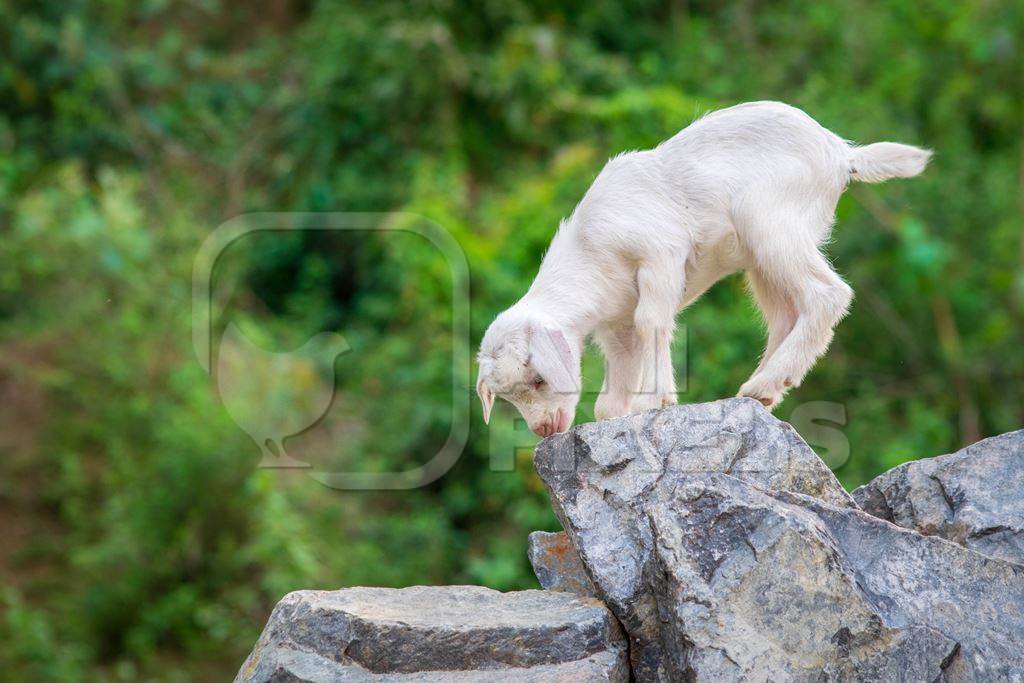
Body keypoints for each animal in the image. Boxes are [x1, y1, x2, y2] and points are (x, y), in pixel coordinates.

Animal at [473, 98, 929, 436]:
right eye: (510, 396)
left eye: (538, 379)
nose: (545, 430)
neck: (589, 253)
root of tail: (842, 153)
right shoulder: (616, 325)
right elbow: (615, 382)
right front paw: (619, 415)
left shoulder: (659, 255)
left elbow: (652, 320)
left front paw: (655, 400)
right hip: (762, 256)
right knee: (784, 315)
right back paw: (759, 392)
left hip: (772, 224)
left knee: (828, 294)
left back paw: (765, 382)